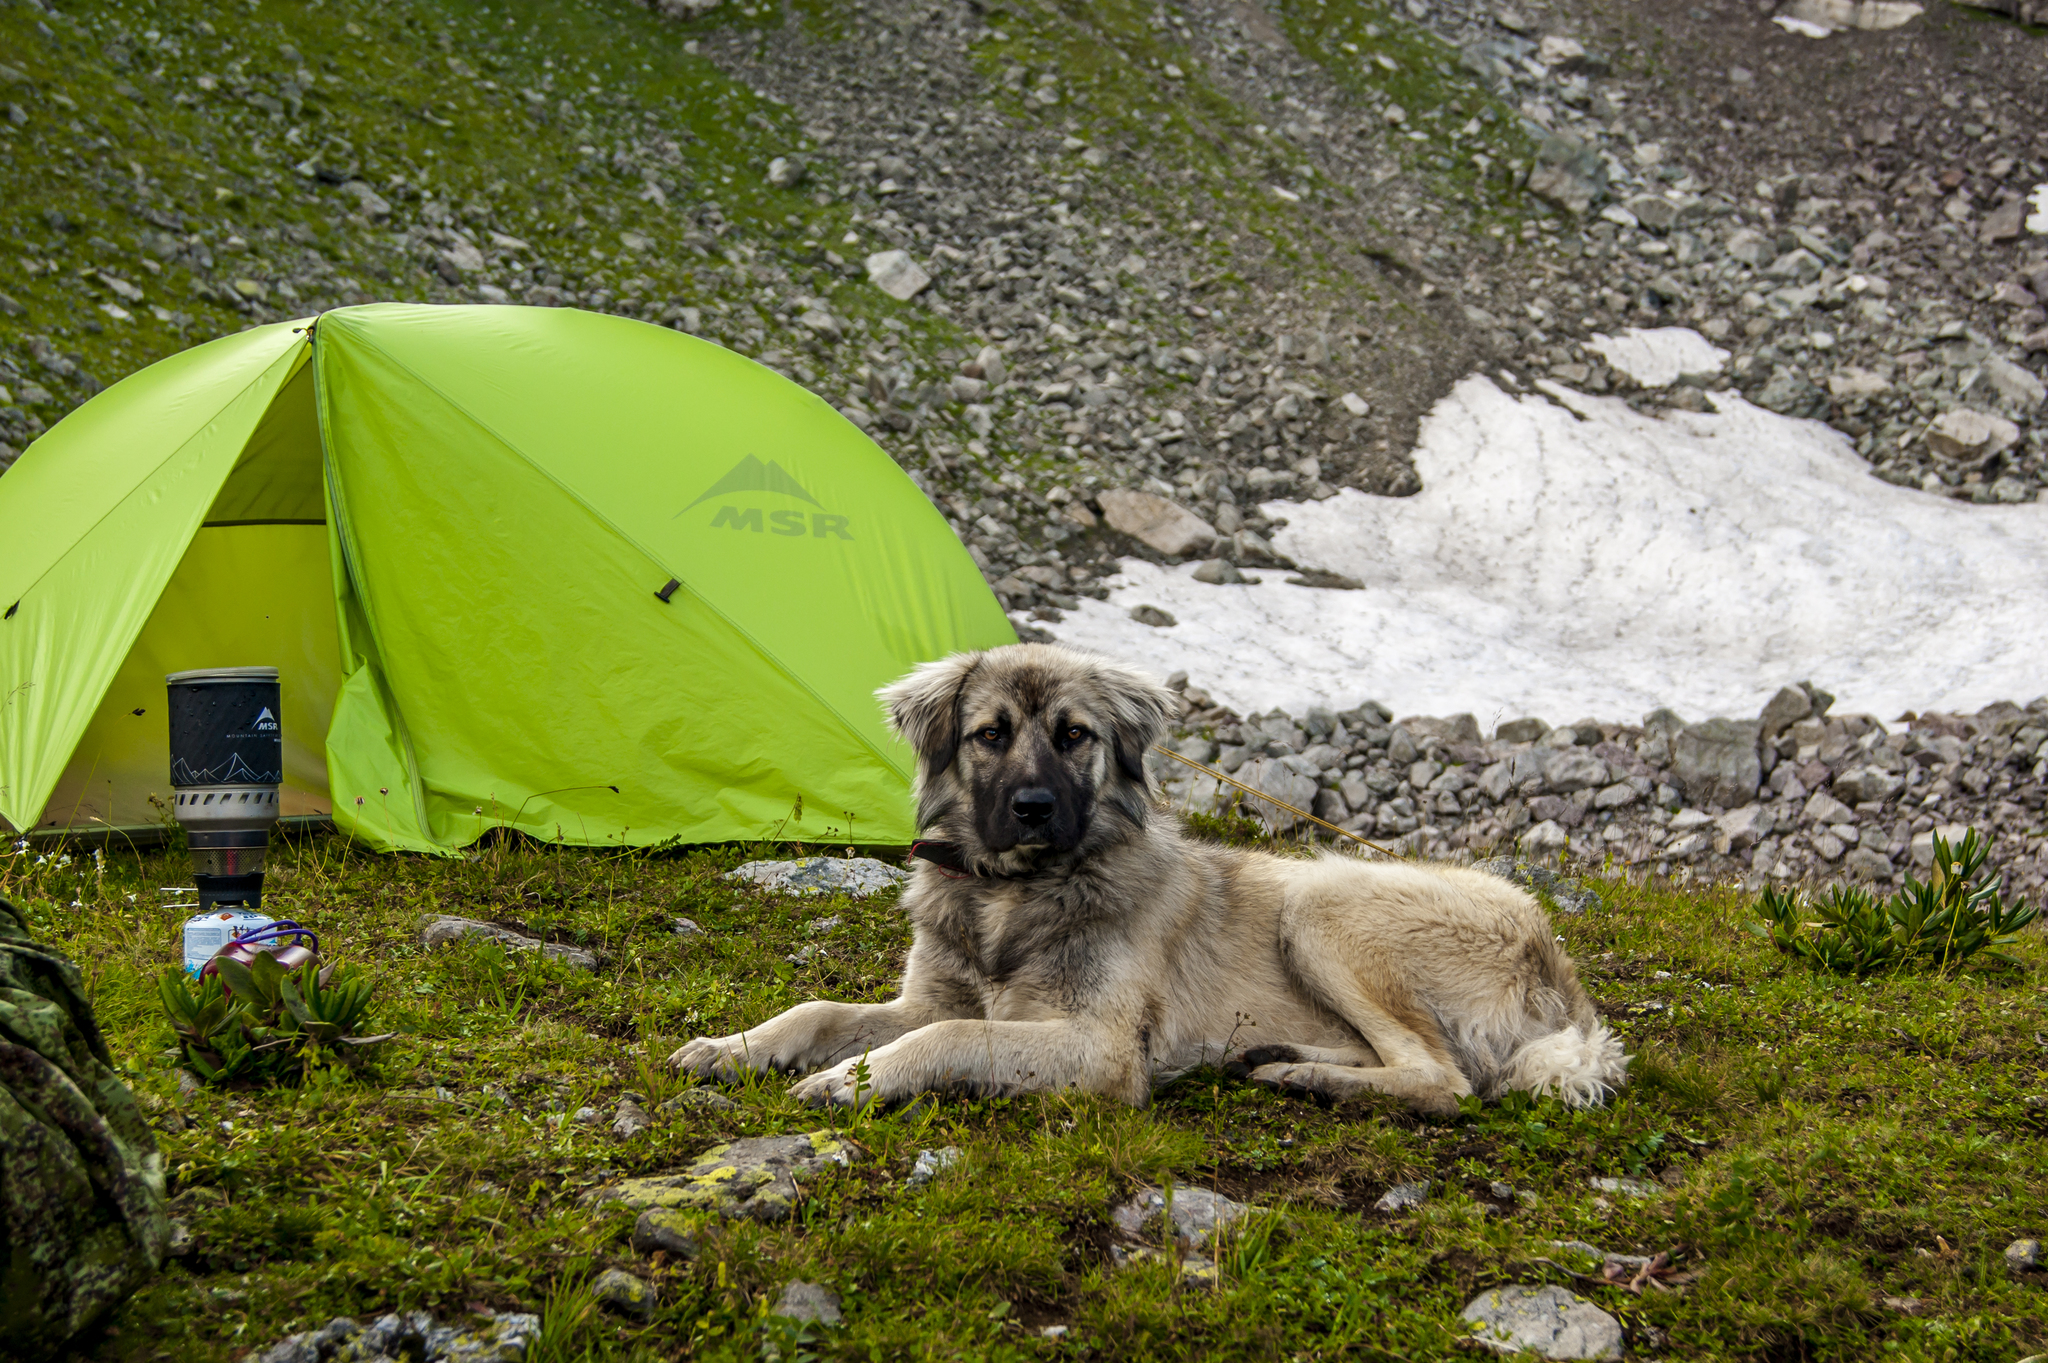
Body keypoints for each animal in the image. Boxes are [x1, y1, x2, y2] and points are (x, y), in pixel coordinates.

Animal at [675, 642, 1630, 1113]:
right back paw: (1279, 1057)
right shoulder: (929, 993)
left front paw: (851, 1079)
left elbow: (944, 1039)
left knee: (1448, 1081)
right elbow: (821, 1009)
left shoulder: (1096, 1047)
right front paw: (734, 1045)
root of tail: (1556, 957)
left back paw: (1309, 1080)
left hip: (1323, 899)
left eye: (1074, 735)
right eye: (990, 733)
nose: (1032, 806)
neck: (1013, 891)